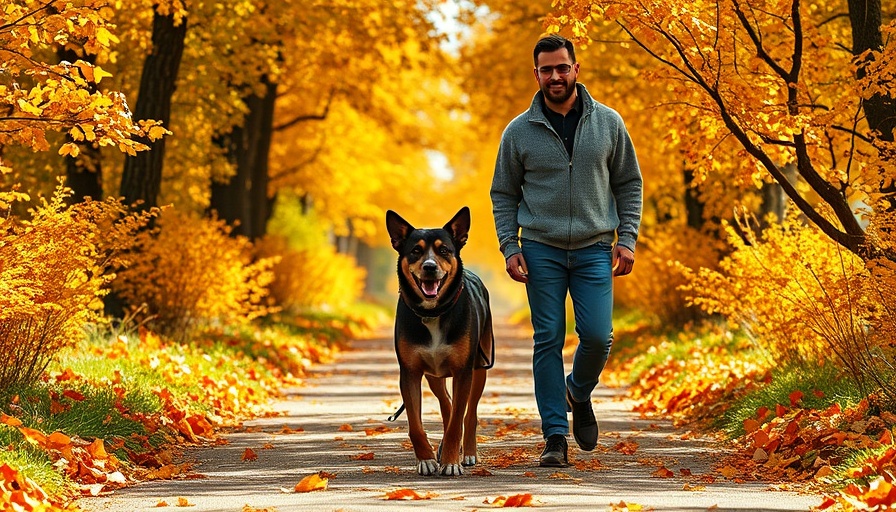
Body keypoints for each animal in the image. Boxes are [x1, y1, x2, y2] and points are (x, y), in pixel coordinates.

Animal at [384, 207, 496, 476]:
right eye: (416, 251)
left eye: (444, 249)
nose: (429, 267)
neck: (433, 312)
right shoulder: (410, 372)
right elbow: (415, 424)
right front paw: (426, 459)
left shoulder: (463, 371)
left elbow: (457, 421)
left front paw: (451, 462)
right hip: (433, 374)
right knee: (447, 404)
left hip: (480, 366)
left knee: (468, 413)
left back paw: (467, 452)